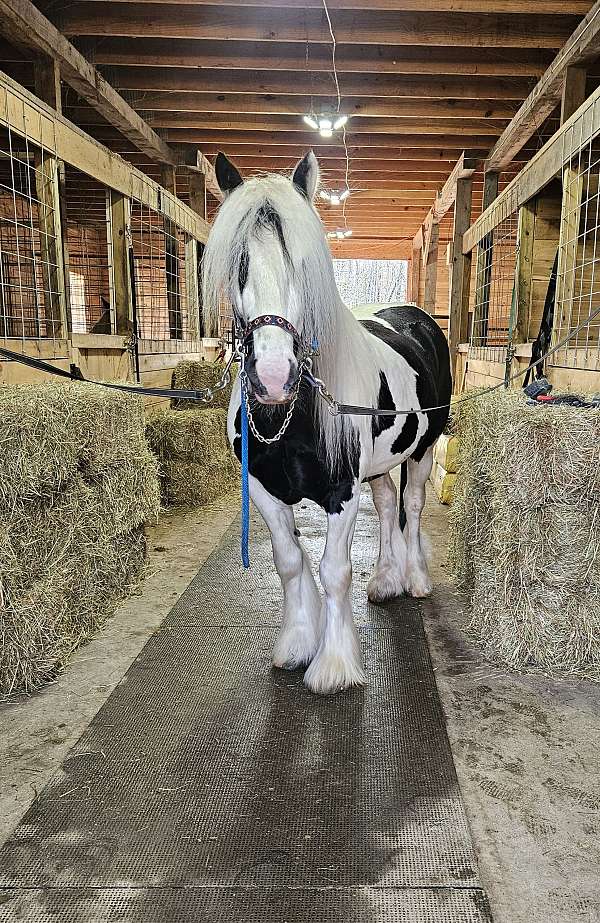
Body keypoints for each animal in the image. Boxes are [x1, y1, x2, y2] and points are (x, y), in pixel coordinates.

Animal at [202, 151, 452, 696]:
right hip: (378, 468)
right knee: (387, 507)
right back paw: (385, 580)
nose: (274, 377)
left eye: (304, 263)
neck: (289, 417)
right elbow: (290, 562)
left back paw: (415, 579)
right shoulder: (264, 490)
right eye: (239, 263)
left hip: (422, 452)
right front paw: (298, 642)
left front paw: (334, 665)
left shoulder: (341, 492)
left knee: (412, 506)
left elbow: (334, 570)